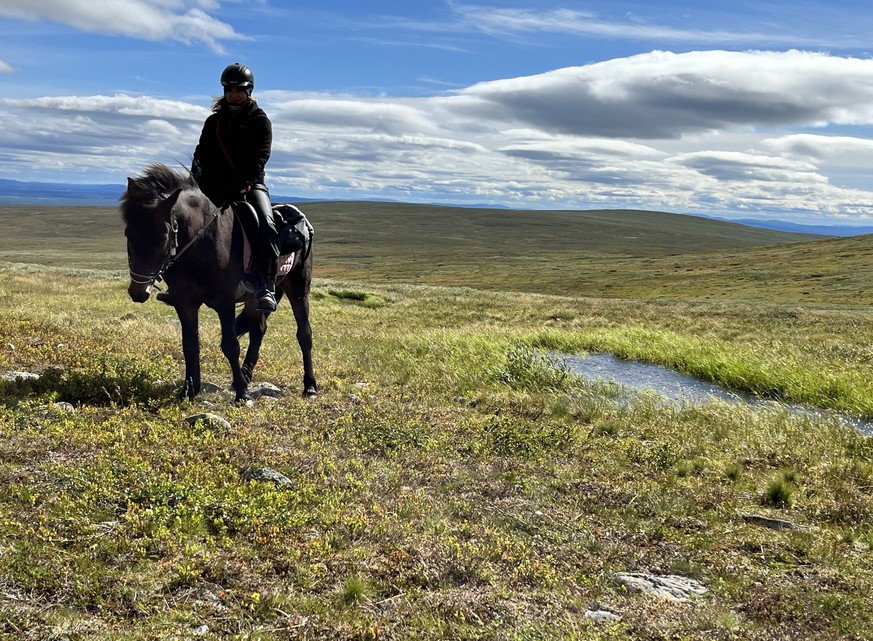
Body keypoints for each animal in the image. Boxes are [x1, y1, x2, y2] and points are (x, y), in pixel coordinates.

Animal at [121, 161, 316, 400]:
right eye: (128, 233)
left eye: (163, 237)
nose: (138, 292)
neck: (199, 246)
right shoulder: (185, 303)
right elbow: (190, 344)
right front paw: (189, 390)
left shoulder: (225, 301)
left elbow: (230, 345)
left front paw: (242, 395)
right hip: (254, 299)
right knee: (258, 330)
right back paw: (246, 374)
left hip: (298, 288)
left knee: (304, 334)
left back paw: (309, 386)